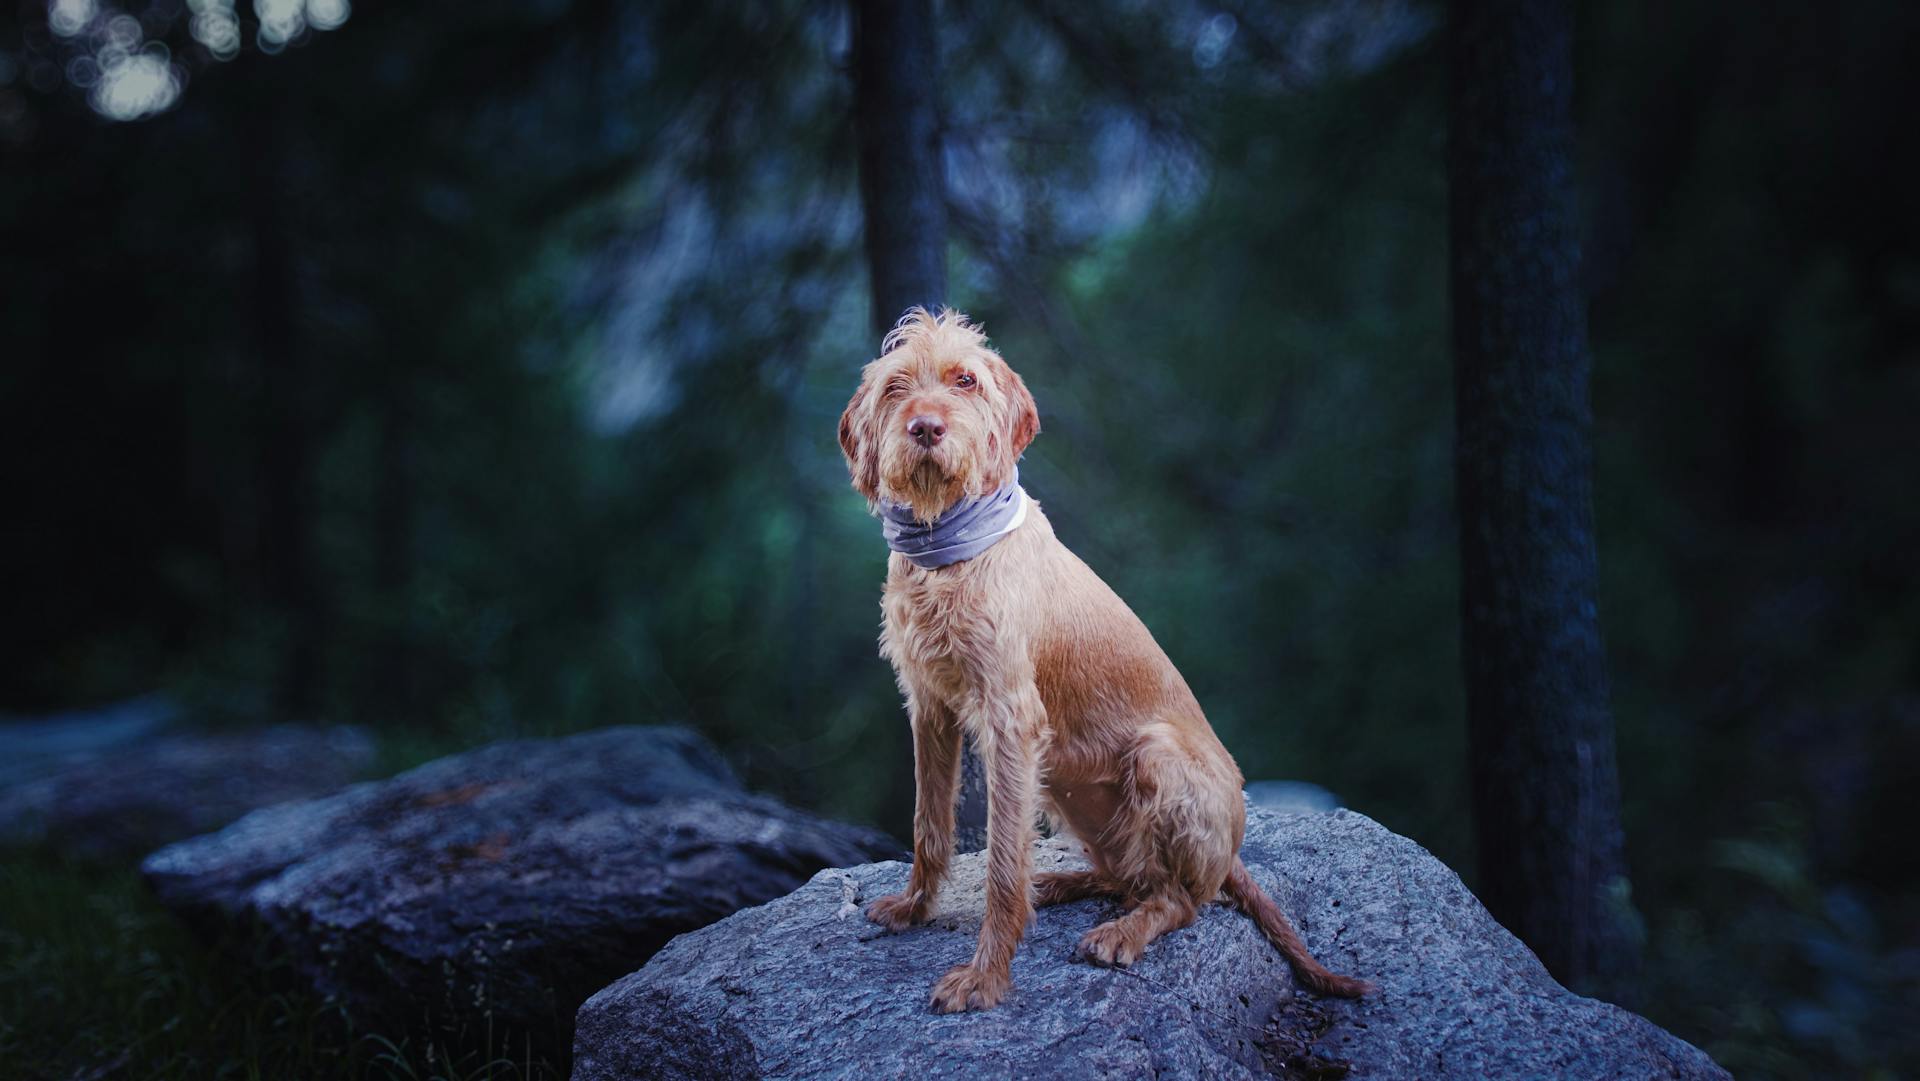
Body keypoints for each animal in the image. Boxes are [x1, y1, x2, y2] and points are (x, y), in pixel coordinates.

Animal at [837, 307, 1367, 1013]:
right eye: (896, 386)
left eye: (965, 380)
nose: (926, 427)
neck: (949, 552)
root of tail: (1232, 853)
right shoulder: (929, 706)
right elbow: (930, 823)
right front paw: (915, 908)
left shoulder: (1011, 719)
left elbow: (1001, 863)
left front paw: (985, 977)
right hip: (1065, 788)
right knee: (1128, 876)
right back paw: (1060, 884)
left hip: (1155, 756)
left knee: (1178, 900)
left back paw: (1119, 932)